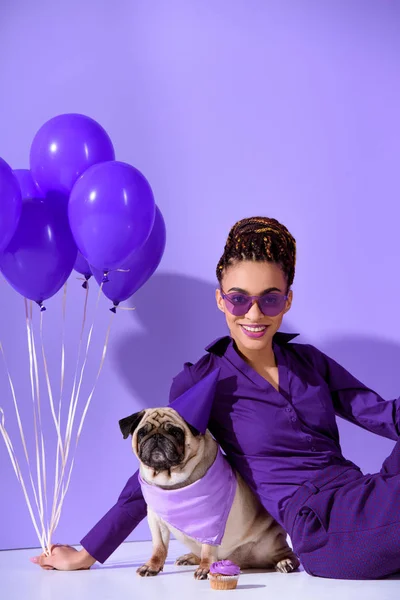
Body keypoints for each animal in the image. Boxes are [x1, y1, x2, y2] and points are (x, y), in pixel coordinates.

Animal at [119, 406, 300, 580]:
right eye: (142, 433)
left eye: (176, 432)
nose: (156, 437)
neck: (172, 481)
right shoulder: (156, 519)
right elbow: (159, 547)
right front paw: (152, 566)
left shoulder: (210, 522)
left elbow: (208, 549)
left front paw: (205, 569)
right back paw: (190, 557)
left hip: (270, 544)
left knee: (289, 554)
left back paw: (285, 562)